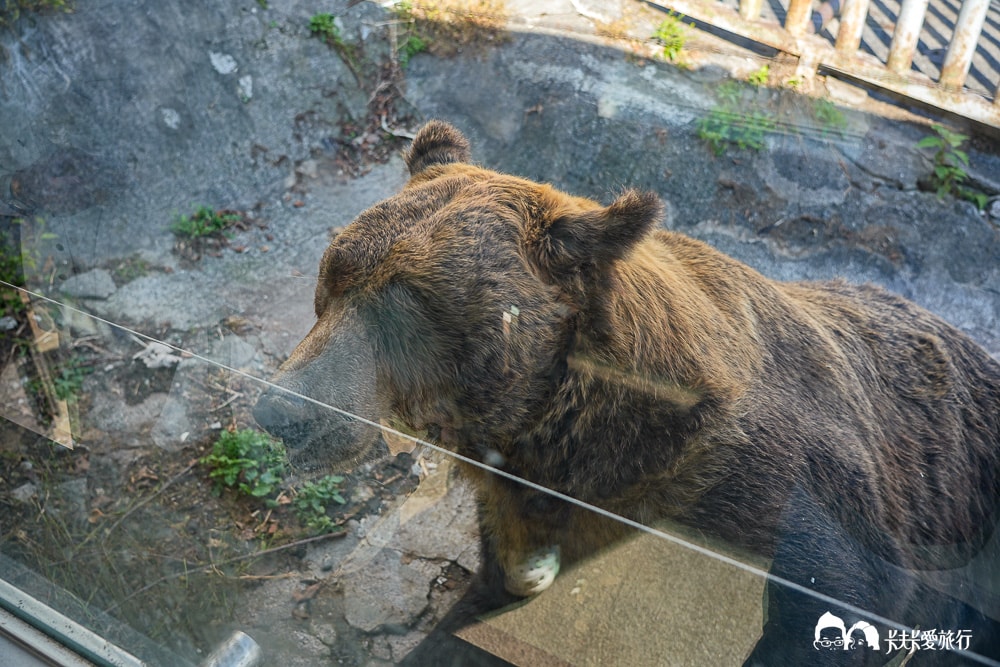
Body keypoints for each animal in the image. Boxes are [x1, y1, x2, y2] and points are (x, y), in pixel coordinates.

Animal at [253, 121, 1000, 666]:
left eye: (402, 306)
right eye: (332, 278)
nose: (280, 408)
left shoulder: (765, 485)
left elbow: (835, 595)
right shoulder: (531, 491)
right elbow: (505, 581)